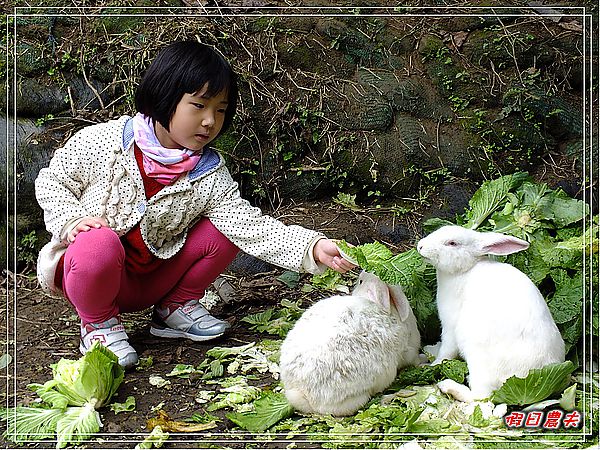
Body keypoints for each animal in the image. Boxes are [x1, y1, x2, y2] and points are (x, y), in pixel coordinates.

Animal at [414, 227, 564, 402]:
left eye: (452, 243)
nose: (420, 246)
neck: (466, 270)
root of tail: (529, 376)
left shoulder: (450, 327)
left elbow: (446, 352)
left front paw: (432, 365)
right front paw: (431, 349)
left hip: (477, 357)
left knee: (480, 397)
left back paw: (447, 386)